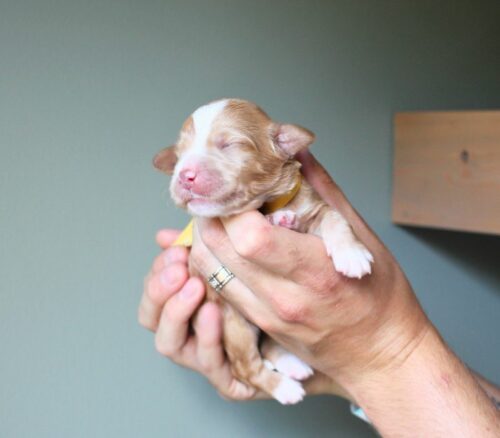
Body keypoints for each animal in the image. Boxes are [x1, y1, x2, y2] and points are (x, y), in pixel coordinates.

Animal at [154, 98, 374, 404]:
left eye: (229, 144)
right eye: (178, 156)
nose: (184, 175)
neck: (265, 205)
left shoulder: (313, 206)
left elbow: (335, 217)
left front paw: (351, 254)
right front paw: (278, 221)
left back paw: (292, 364)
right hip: (235, 325)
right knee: (246, 367)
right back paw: (286, 388)